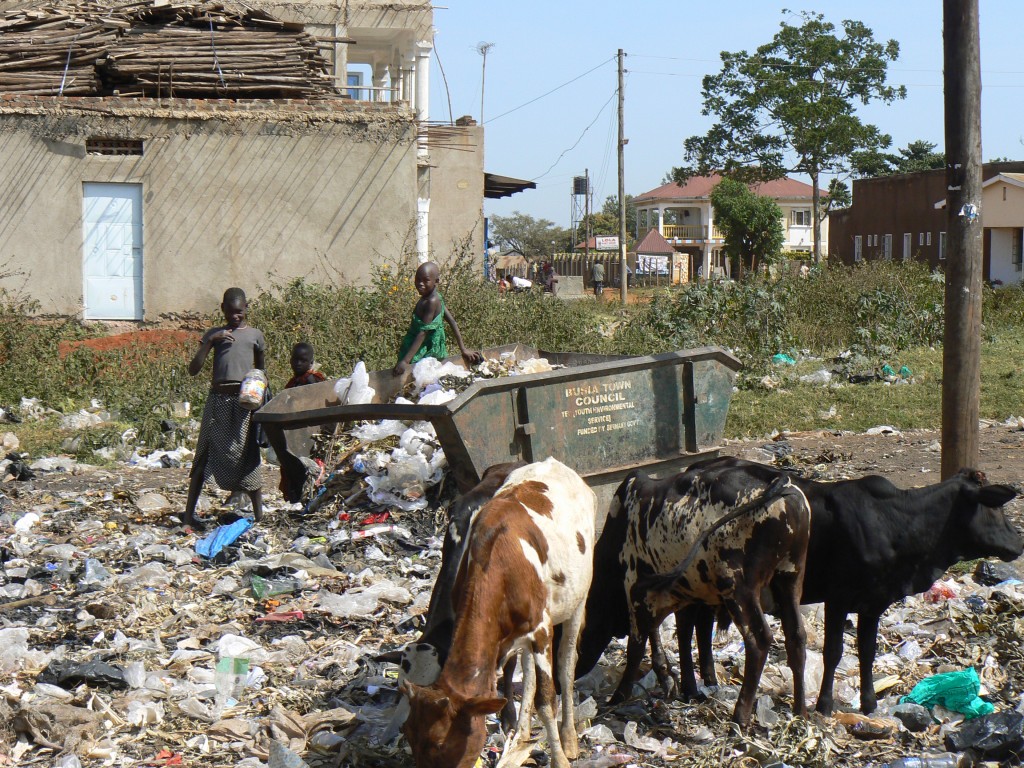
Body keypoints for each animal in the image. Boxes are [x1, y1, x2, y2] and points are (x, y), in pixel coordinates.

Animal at [401, 456, 598, 768]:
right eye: (408, 732)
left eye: (440, 742)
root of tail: (552, 463)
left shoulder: (542, 629)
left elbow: (546, 700)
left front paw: (559, 759)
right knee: (528, 672)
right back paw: (522, 733)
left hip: (578, 597)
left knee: (567, 665)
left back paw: (568, 738)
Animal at [610, 462, 811, 729]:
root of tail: (780, 479)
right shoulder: (688, 597)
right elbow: (687, 634)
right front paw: (687, 686)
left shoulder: (636, 588)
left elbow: (637, 644)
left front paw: (618, 697)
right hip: (791, 576)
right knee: (796, 636)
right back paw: (800, 712)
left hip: (739, 588)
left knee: (759, 640)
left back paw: (740, 717)